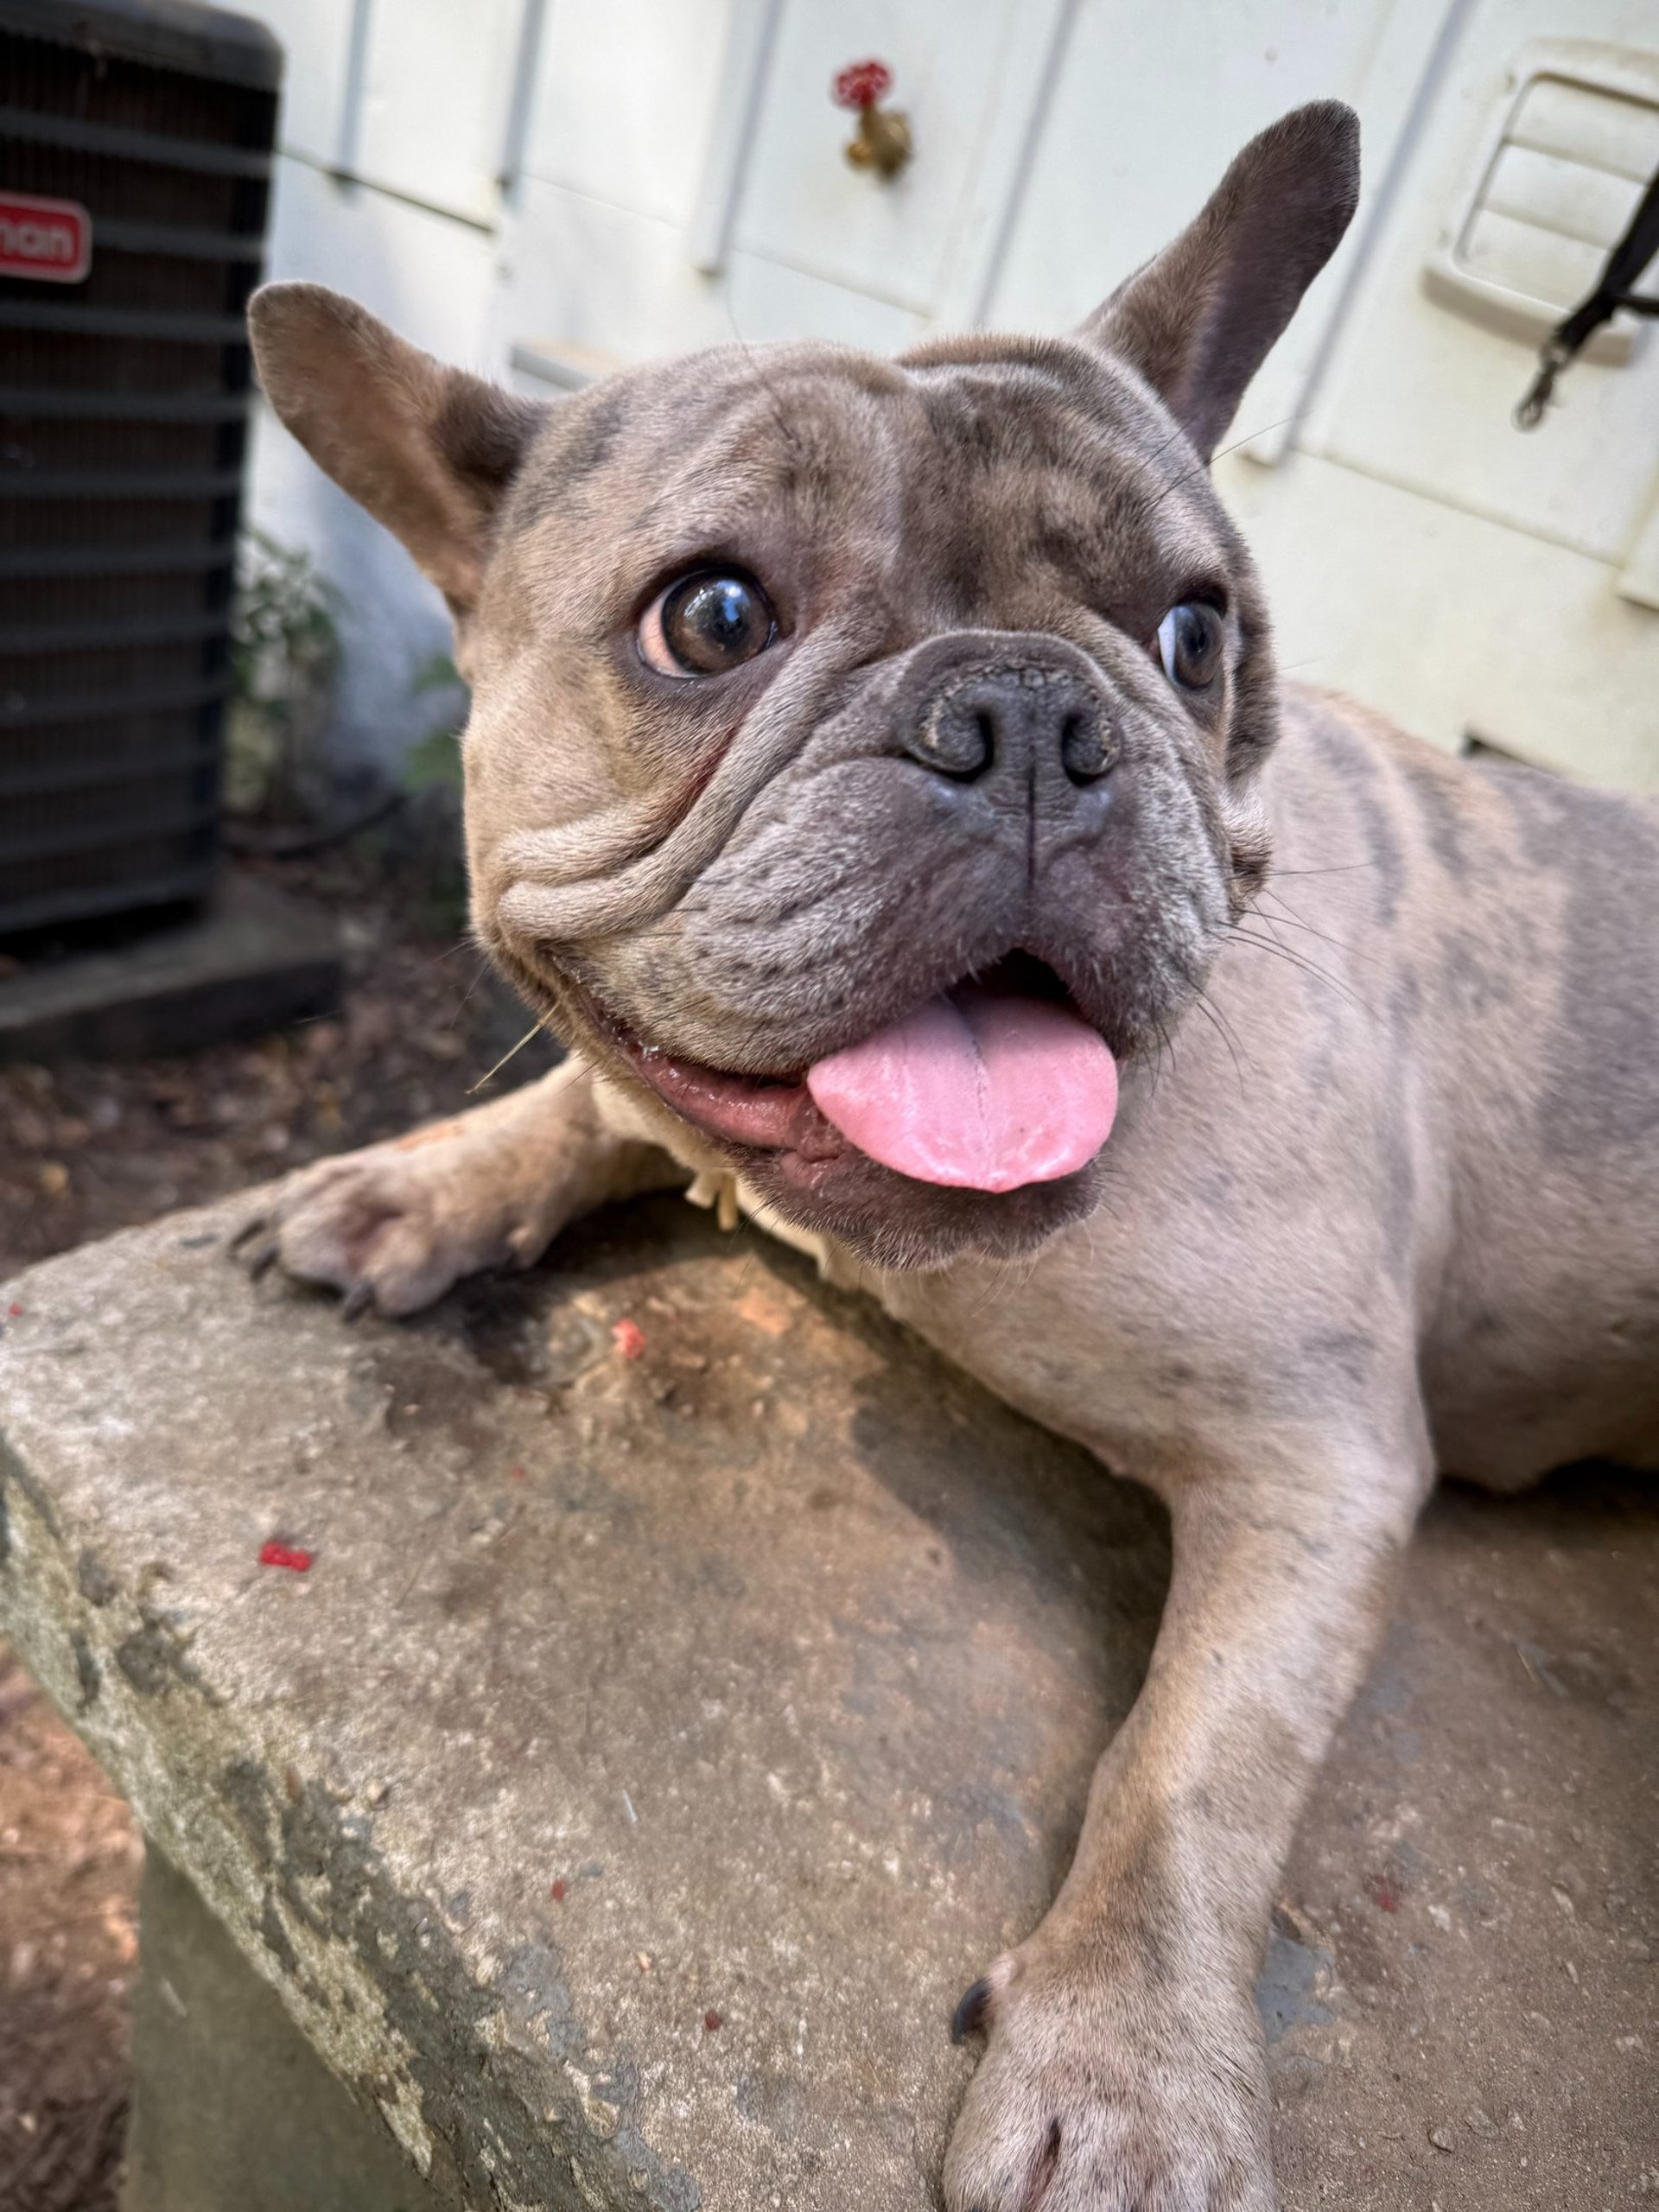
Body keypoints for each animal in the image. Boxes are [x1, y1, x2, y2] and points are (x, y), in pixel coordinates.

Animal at [242, 102, 1659, 2210]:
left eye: (1195, 633)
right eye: (713, 617)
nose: (1033, 714)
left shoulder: (1317, 1461)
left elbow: (1190, 1770)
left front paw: (1125, 2066)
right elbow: (590, 1098)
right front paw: (422, 1179)